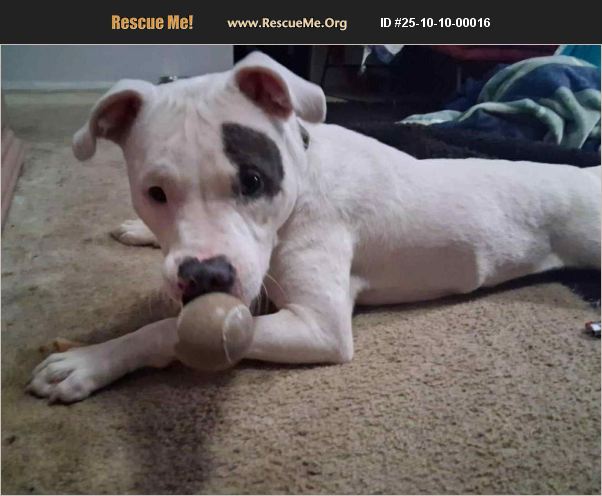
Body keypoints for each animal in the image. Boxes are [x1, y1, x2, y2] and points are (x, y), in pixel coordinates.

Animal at [27, 52, 601, 403]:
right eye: (155, 193)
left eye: (253, 180)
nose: (206, 276)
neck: (303, 179)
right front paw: (139, 231)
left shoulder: (317, 326)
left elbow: (169, 328)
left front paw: (88, 362)